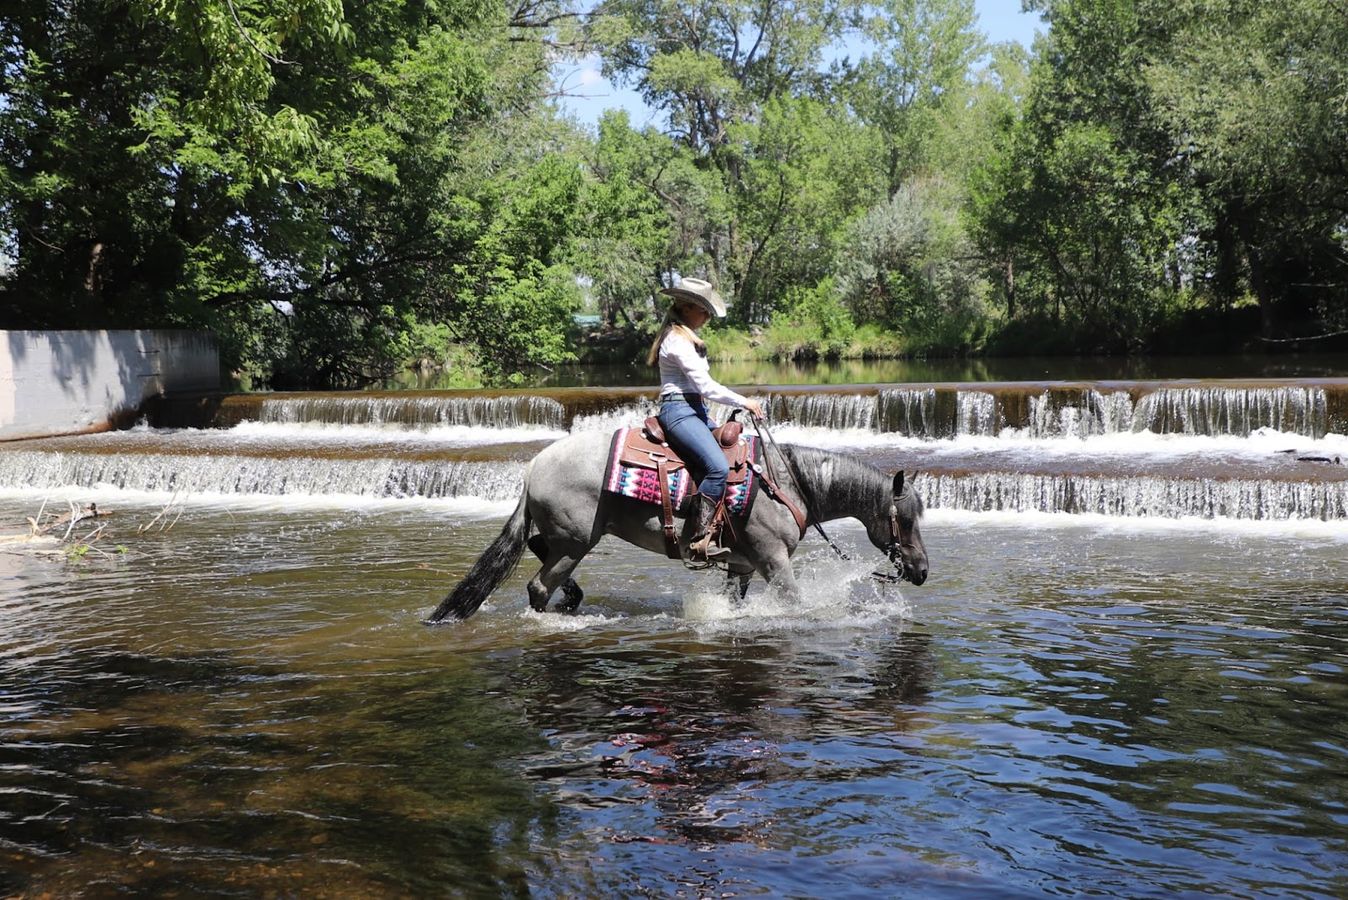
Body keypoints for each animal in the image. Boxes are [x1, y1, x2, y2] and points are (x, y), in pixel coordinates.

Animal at [426, 430, 929, 621]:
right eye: (905, 519)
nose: (922, 571)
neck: (787, 483)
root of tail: (533, 468)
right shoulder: (773, 560)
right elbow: (794, 602)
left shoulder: (742, 565)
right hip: (575, 543)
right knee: (537, 585)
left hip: (567, 539)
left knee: (537, 549)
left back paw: (572, 598)